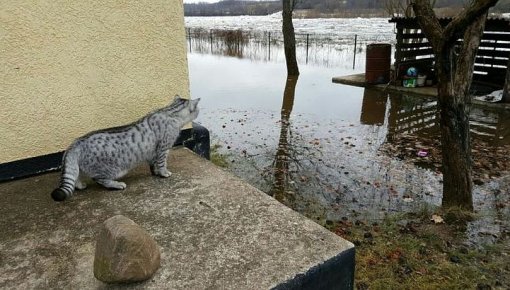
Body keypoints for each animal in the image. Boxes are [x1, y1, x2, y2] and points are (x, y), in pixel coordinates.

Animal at [50, 96, 199, 201]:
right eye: (197, 110)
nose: (199, 111)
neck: (170, 112)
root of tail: (76, 142)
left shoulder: (153, 152)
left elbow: (153, 164)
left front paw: (155, 172)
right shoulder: (163, 149)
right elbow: (162, 164)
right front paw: (164, 173)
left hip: (80, 166)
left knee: (76, 175)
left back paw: (80, 185)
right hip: (112, 169)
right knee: (98, 179)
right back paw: (116, 185)